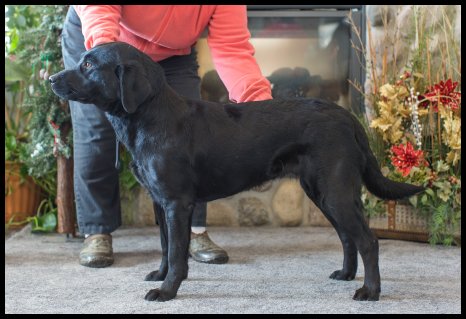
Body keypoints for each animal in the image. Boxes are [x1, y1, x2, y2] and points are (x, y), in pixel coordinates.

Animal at [49, 42, 424, 302]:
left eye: (88, 64)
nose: (50, 78)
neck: (150, 118)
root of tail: (348, 116)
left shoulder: (177, 203)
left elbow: (177, 252)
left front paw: (167, 291)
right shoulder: (160, 203)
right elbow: (165, 247)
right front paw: (159, 275)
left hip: (335, 190)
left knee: (368, 240)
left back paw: (369, 292)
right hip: (322, 192)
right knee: (348, 237)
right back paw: (345, 275)